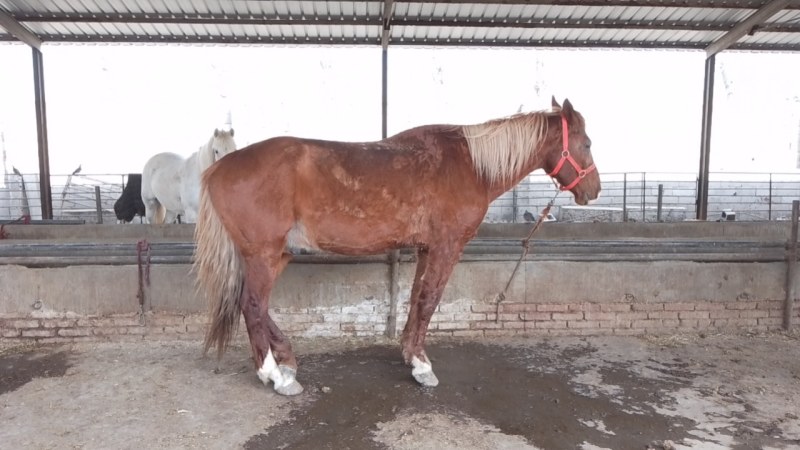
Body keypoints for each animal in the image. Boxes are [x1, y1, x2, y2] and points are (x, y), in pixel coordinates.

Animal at [194, 98, 600, 396]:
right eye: (587, 143)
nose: (592, 190)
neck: (469, 164)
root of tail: (219, 168)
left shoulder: (425, 249)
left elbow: (417, 297)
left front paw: (409, 354)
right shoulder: (446, 247)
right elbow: (430, 300)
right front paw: (422, 366)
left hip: (276, 254)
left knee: (253, 305)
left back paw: (286, 361)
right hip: (263, 254)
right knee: (252, 305)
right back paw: (275, 376)